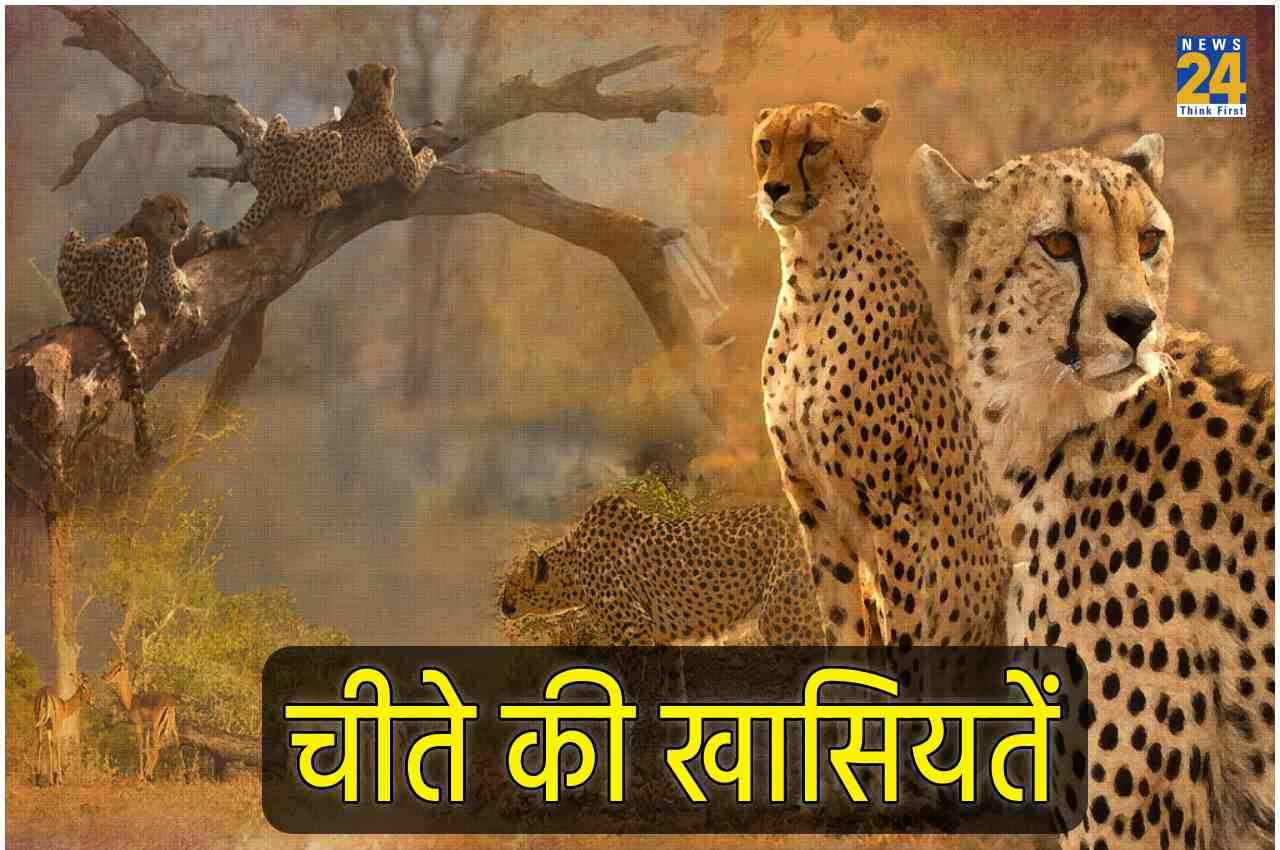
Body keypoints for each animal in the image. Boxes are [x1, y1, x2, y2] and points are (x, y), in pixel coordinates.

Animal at [57, 193, 198, 455]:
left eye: (185, 209)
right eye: (170, 209)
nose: (184, 225)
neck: (146, 222)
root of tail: (95, 304)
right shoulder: (172, 297)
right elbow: (181, 285)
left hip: (73, 236)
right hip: (136, 248)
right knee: (125, 318)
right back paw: (137, 311)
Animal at [213, 62, 436, 249]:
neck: (366, 100)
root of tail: (269, 185)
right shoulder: (410, 176)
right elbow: (418, 170)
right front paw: (430, 151)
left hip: (279, 121)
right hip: (333, 140)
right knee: (306, 206)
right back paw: (330, 197)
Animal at [497, 495, 823, 647]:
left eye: (512, 583)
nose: (501, 604)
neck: (574, 567)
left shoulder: (633, 628)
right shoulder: (658, 634)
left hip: (782, 615)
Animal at [752, 100, 1010, 650]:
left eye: (815, 145)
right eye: (766, 143)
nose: (774, 188)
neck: (810, 275)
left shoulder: (894, 507)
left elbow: (906, 629)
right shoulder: (812, 505)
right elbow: (841, 621)